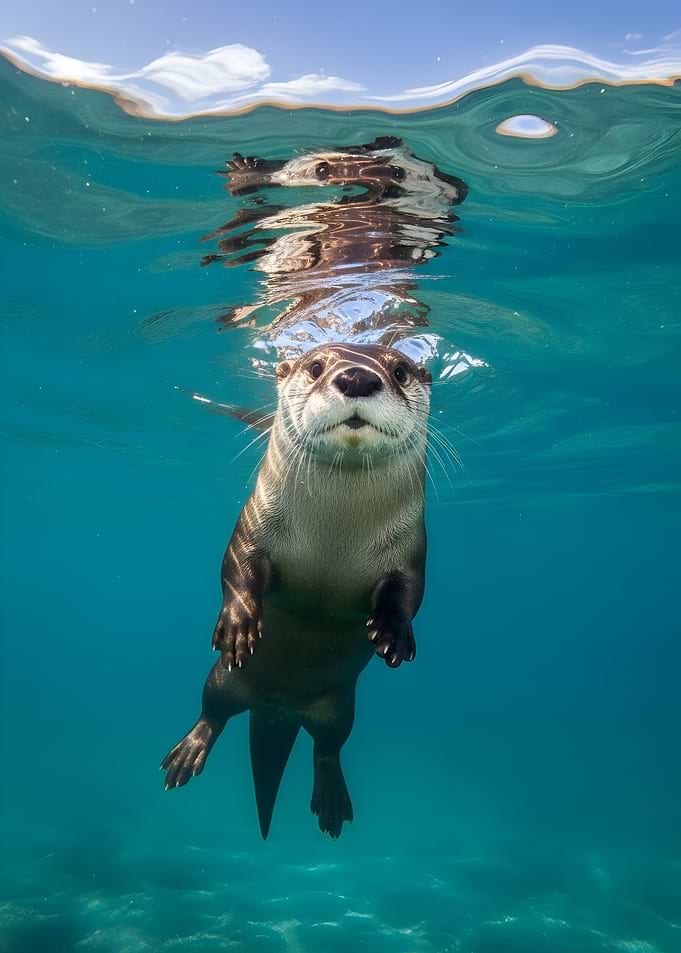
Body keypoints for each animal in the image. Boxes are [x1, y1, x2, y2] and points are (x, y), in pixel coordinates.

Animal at [161, 342, 431, 838]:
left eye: (401, 371)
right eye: (316, 366)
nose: (357, 377)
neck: (336, 532)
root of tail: (277, 709)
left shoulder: (412, 548)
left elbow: (409, 591)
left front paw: (393, 632)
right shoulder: (254, 525)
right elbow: (235, 567)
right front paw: (238, 625)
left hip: (341, 709)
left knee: (328, 746)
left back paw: (331, 798)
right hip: (222, 679)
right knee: (213, 711)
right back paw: (190, 751)